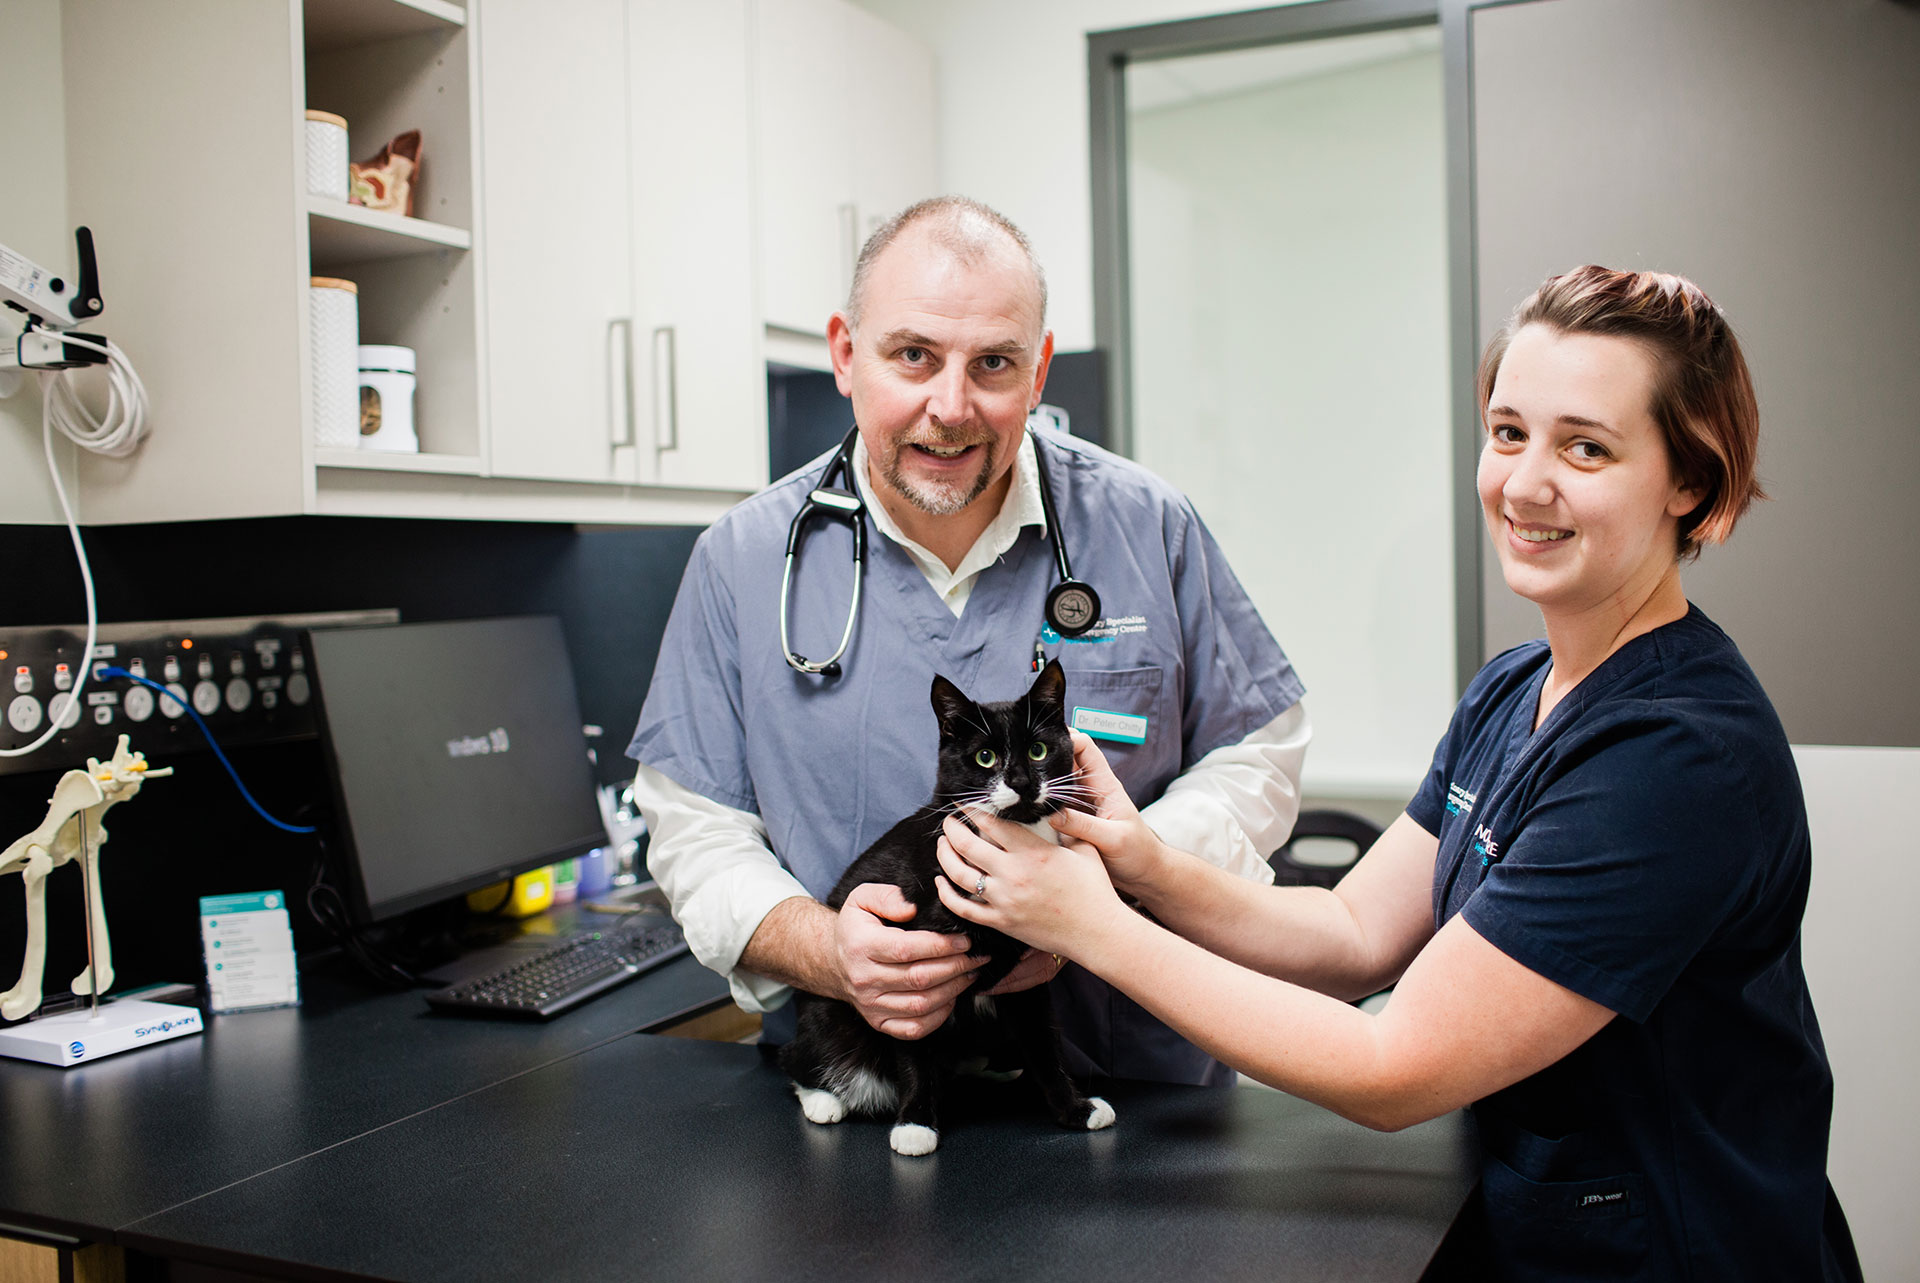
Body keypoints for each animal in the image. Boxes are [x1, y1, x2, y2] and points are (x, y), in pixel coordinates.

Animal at [775, 660, 1121, 1152]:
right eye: (985, 758)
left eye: (1038, 750)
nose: (1021, 783)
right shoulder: (909, 962)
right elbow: (914, 1045)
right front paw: (916, 1124)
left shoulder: (1026, 980)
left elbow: (1043, 1041)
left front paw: (1076, 1108)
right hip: (831, 1019)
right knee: (802, 1059)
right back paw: (824, 1099)